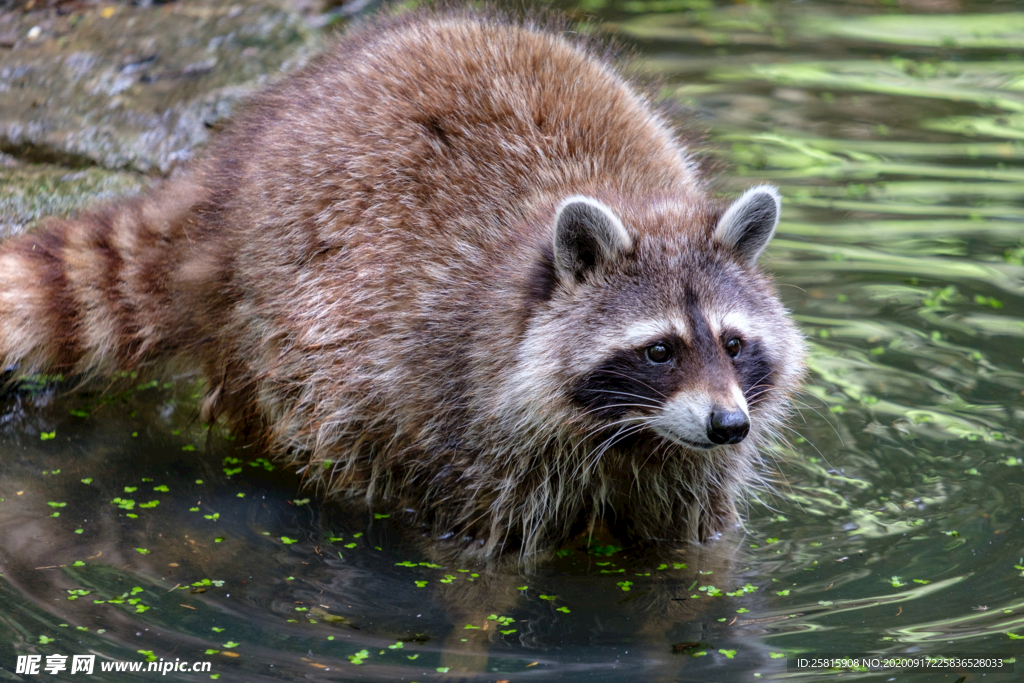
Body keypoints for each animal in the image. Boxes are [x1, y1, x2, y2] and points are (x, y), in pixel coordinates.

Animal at [0, 6, 802, 561]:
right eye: (660, 350)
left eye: (733, 343)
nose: (730, 425)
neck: (631, 436)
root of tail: (226, 177)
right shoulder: (467, 423)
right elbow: (479, 562)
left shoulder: (689, 466)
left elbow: (695, 555)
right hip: (280, 329)